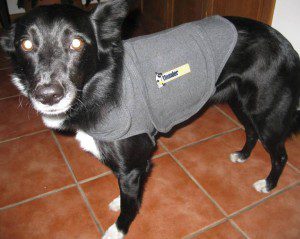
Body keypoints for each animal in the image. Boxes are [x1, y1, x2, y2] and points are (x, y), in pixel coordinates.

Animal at [1, 0, 298, 238]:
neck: (101, 85)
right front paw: (120, 202)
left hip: (266, 114)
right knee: (250, 131)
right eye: (25, 44)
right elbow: (126, 194)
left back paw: (268, 184)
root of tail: (286, 44)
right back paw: (243, 155)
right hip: (242, 104)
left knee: (280, 155)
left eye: (76, 43)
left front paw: (118, 228)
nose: (48, 95)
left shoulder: (133, 164)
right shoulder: (129, 166)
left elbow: (130, 204)